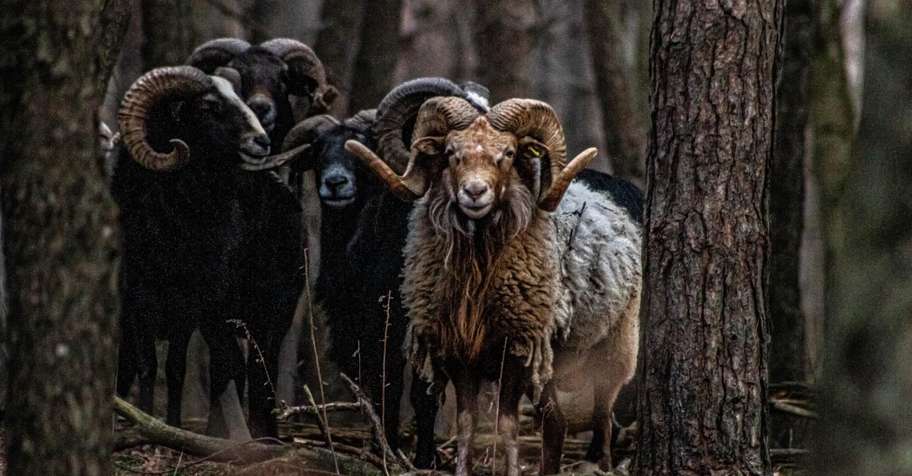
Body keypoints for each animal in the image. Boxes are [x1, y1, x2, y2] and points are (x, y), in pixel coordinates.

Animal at [111, 66, 313, 438]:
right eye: (209, 107)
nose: (261, 141)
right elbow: (148, 366)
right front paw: (146, 423)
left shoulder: (190, 305)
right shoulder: (139, 299)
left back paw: (259, 436)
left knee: (257, 368)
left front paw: (173, 427)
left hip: (271, 310)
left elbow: (176, 368)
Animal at [345, 96, 643, 475]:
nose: (474, 192)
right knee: (557, 422)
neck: (477, 279)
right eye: (451, 152)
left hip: (615, 346)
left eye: (509, 153)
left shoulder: (515, 350)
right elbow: (467, 423)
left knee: (600, 414)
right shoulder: (459, 353)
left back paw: (599, 461)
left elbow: (507, 425)